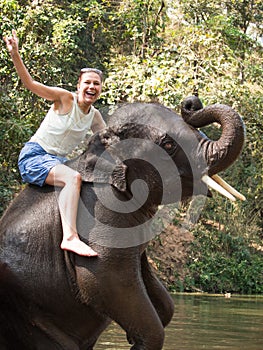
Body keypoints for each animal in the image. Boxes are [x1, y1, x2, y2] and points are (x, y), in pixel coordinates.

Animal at [0, 96, 245, 350]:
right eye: (169, 145)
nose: (191, 103)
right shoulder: (101, 208)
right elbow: (102, 277)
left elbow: (153, 286)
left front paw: (134, 336)